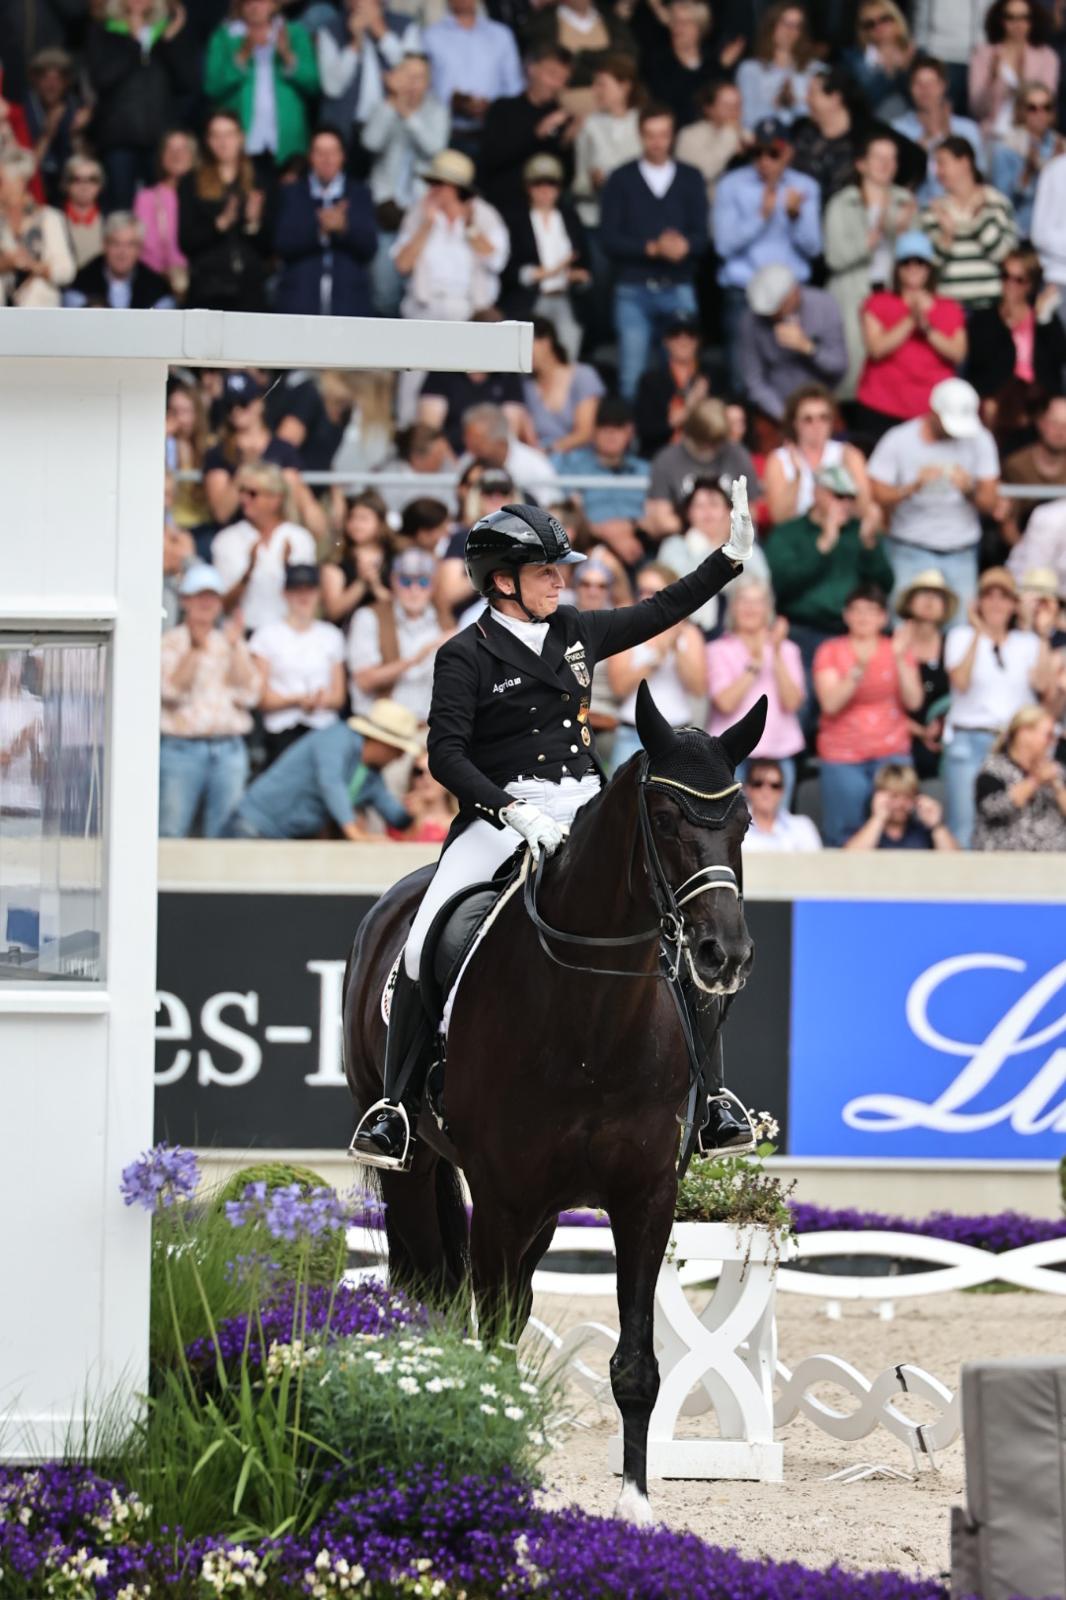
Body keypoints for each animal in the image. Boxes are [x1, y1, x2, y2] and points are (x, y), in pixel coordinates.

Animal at [342, 681, 765, 1516]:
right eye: (665, 818)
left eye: (742, 822)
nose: (722, 955)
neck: (591, 1018)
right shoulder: (503, 1197)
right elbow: (493, 1347)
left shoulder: (644, 1198)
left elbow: (636, 1365)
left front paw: (635, 1504)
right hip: (417, 1170)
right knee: (428, 1294)